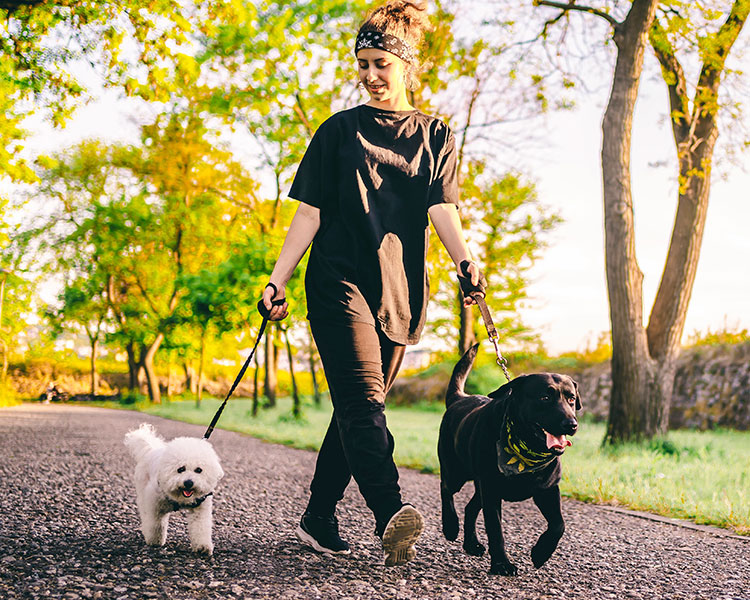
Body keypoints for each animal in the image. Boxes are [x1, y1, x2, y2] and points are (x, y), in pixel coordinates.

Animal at [122, 424, 223, 556]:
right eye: (180, 469)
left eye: (199, 470)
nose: (188, 483)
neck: (181, 498)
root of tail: (150, 450)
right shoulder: (155, 507)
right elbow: (156, 525)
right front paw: (155, 541)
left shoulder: (200, 510)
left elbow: (200, 528)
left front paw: (203, 547)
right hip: (143, 492)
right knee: (145, 513)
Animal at [438, 344, 584, 576]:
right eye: (544, 398)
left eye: (571, 399)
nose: (571, 424)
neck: (526, 450)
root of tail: (459, 397)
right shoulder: (491, 491)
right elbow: (496, 531)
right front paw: (501, 564)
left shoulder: (548, 490)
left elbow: (558, 525)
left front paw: (541, 553)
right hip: (456, 472)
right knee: (446, 490)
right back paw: (450, 526)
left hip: (480, 485)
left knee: (470, 508)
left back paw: (472, 544)